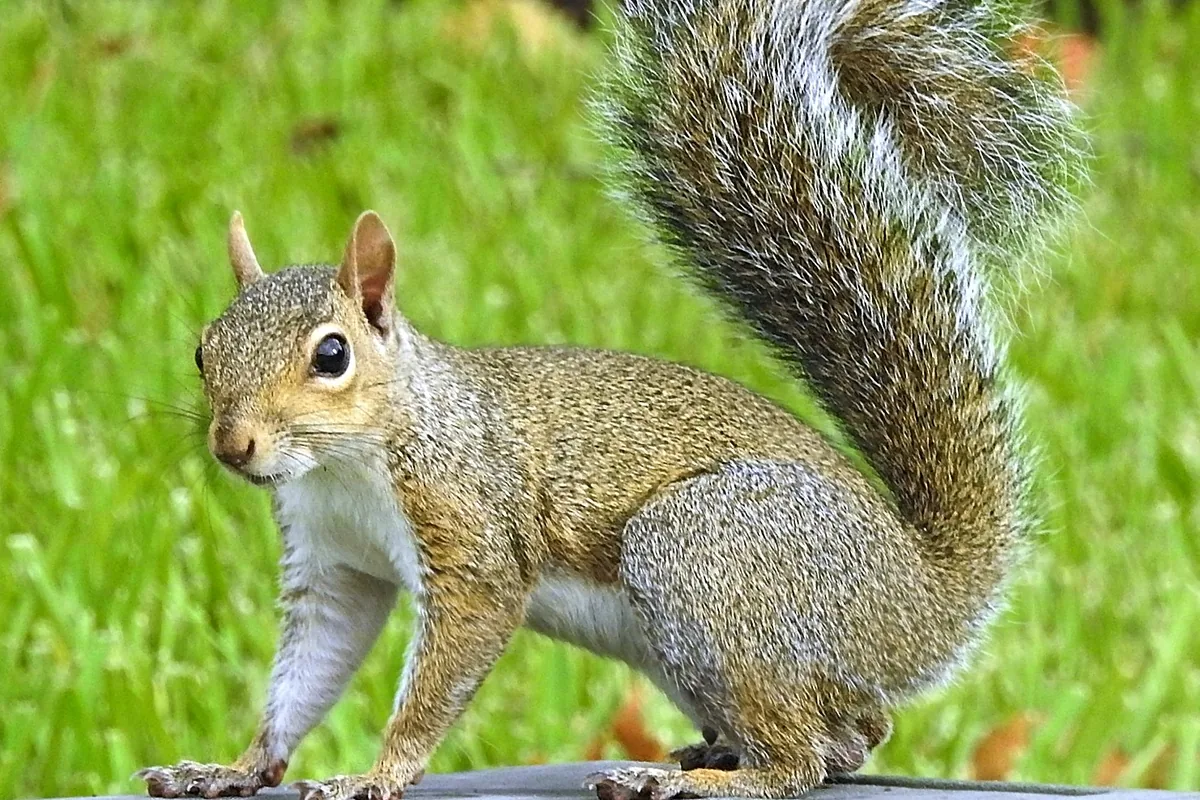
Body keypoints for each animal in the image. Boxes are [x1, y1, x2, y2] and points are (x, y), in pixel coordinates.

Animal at [135, 0, 1080, 797]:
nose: (232, 446)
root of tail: (922, 597)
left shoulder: (469, 529)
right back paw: (711, 754)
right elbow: (308, 670)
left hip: (710, 554)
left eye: (331, 355)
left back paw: (709, 780)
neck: (348, 461)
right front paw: (235, 767)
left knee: (809, 757)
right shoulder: (334, 564)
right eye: (203, 350)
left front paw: (376, 775)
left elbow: (446, 667)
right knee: (854, 733)